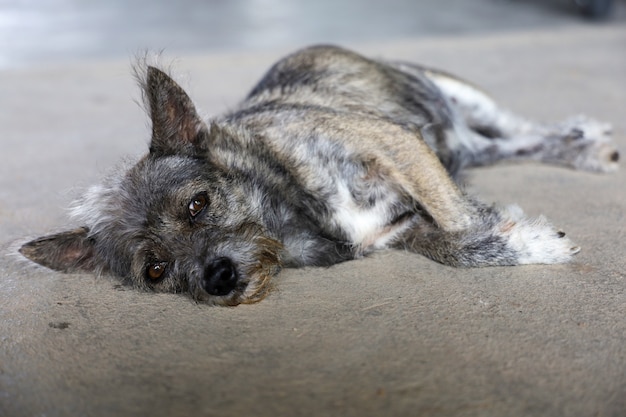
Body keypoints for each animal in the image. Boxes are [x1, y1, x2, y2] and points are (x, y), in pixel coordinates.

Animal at [18, 45, 616, 306]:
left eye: (197, 203)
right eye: (156, 270)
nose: (218, 278)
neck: (291, 214)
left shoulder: (398, 144)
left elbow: (456, 219)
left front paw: (523, 237)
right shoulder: (398, 229)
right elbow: (448, 245)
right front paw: (517, 239)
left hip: (463, 100)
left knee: (522, 126)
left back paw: (590, 140)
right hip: (469, 149)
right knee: (517, 144)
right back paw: (585, 150)